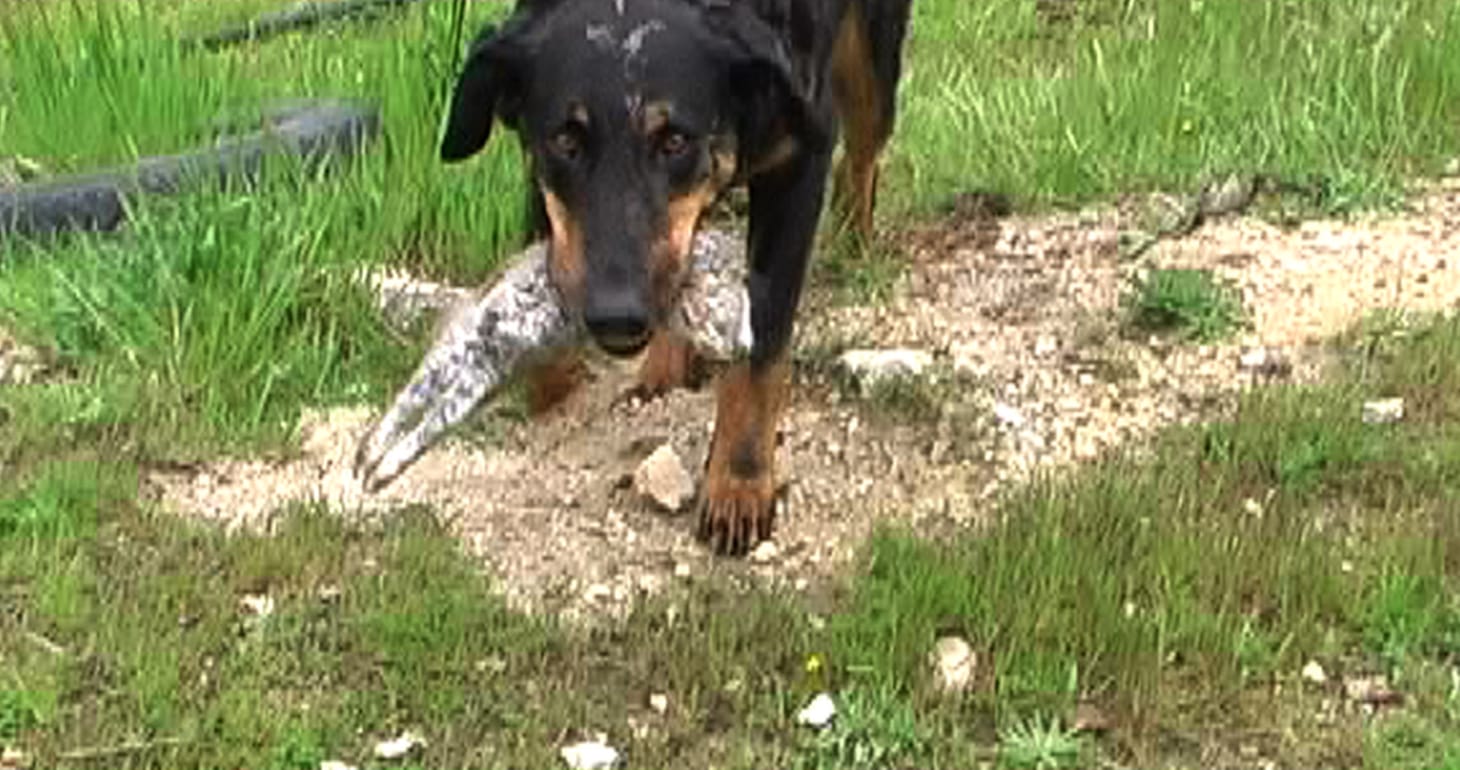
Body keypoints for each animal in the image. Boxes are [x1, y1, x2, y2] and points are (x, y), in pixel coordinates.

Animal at [435, 0, 911, 558]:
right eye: (565, 140)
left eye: (674, 141)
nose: (616, 316)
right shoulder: (547, 184)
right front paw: (556, 404)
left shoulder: (801, 152)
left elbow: (762, 347)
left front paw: (739, 487)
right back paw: (662, 370)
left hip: (872, 64)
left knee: (864, 151)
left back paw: (856, 245)